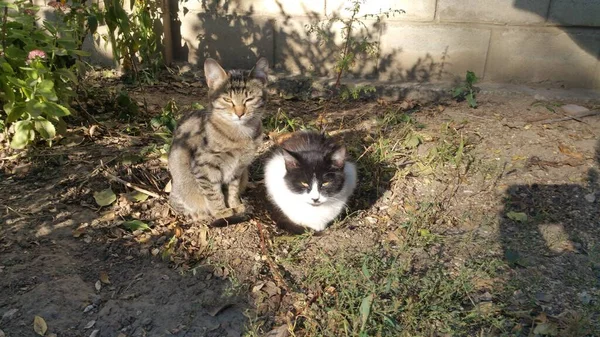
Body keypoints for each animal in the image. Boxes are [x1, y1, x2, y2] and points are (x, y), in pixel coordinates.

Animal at [168, 57, 268, 224]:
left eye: (249, 99)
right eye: (227, 99)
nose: (239, 113)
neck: (241, 134)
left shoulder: (238, 169)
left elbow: (232, 190)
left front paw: (235, 205)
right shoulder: (204, 167)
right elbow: (214, 194)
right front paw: (222, 212)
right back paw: (198, 214)